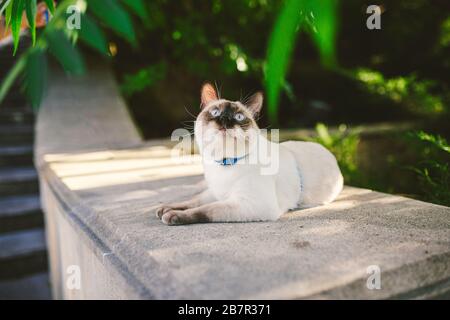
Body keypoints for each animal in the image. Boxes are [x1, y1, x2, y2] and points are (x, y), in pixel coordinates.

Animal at [156, 84, 342, 226]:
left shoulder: (249, 204)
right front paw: (166, 208)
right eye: (216, 113)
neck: (224, 164)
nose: (225, 121)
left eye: (238, 117)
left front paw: (172, 215)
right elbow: (193, 201)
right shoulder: (216, 192)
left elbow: (206, 209)